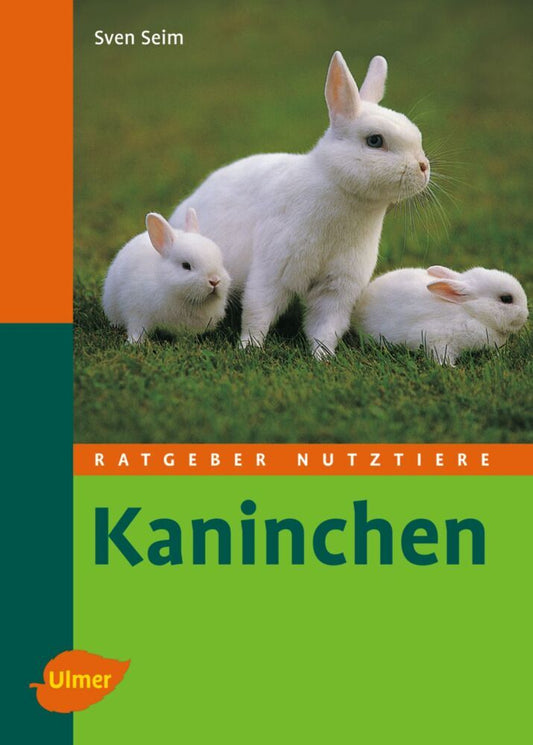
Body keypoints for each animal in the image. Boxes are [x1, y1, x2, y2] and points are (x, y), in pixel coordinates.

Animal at [102, 208, 231, 343]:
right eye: (186, 266)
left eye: (220, 261)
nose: (214, 280)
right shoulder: (138, 314)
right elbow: (137, 330)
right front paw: (134, 343)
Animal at [169, 51, 430, 359]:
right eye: (375, 140)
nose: (424, 167)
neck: (341, 194)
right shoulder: (272, 271)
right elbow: (258, 312)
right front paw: (249, 348)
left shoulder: (337, 288)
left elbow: (326, 326)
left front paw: (323, 357)